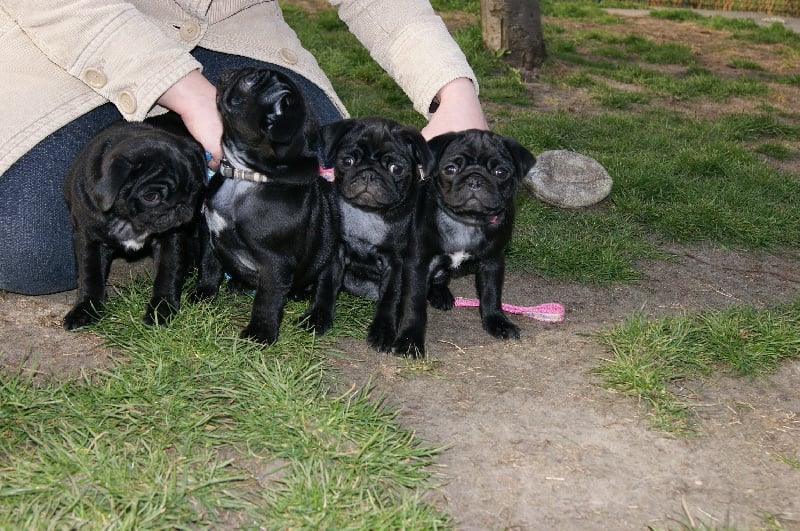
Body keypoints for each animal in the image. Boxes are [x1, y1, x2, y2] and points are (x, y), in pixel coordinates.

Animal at [63, 118, 206, 330]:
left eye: (194, 189)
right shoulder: (88, 239)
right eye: (151, 197)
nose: (179, 206)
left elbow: (168, 273)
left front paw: (161, 310)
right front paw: (85, 310)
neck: (128, 220)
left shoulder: (170, 239)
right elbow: (91, 276)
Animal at [318, 116, 434, 350]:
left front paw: (382, 330)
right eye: (347, 161)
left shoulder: (395, 263)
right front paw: (315, 317)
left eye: (395, 168)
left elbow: (389, 298)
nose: (369, 174)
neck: (367, 214)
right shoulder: (337, 252)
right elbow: (326, 285)